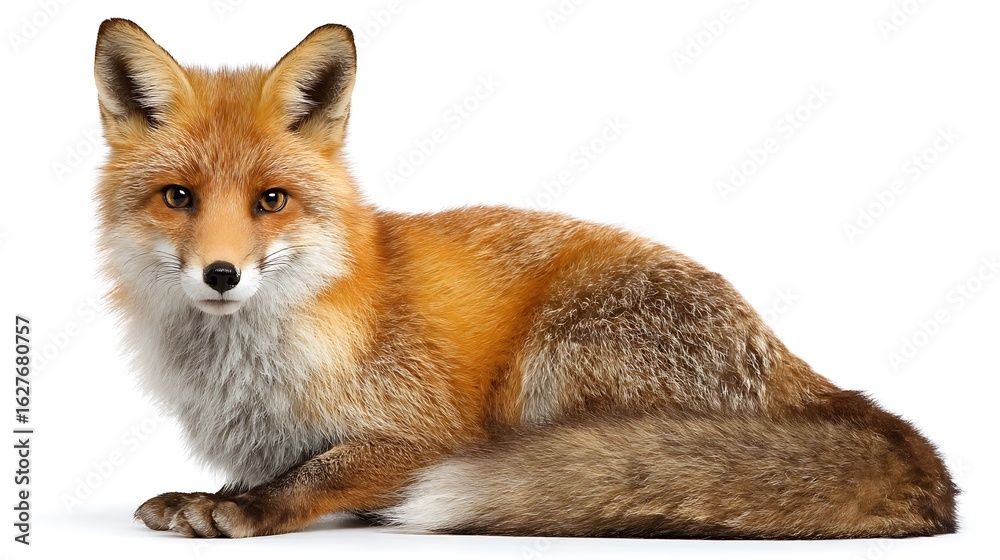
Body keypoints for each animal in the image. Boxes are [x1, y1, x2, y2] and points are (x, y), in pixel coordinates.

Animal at [94, 18, 957, 539]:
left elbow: (321, 469)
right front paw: (210, 495)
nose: (222, 274)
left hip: (552, 361)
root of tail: (795, 366)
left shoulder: (434, 436)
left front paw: (248, 508)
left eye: (270, 200)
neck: (246, 367)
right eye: (179, 198)